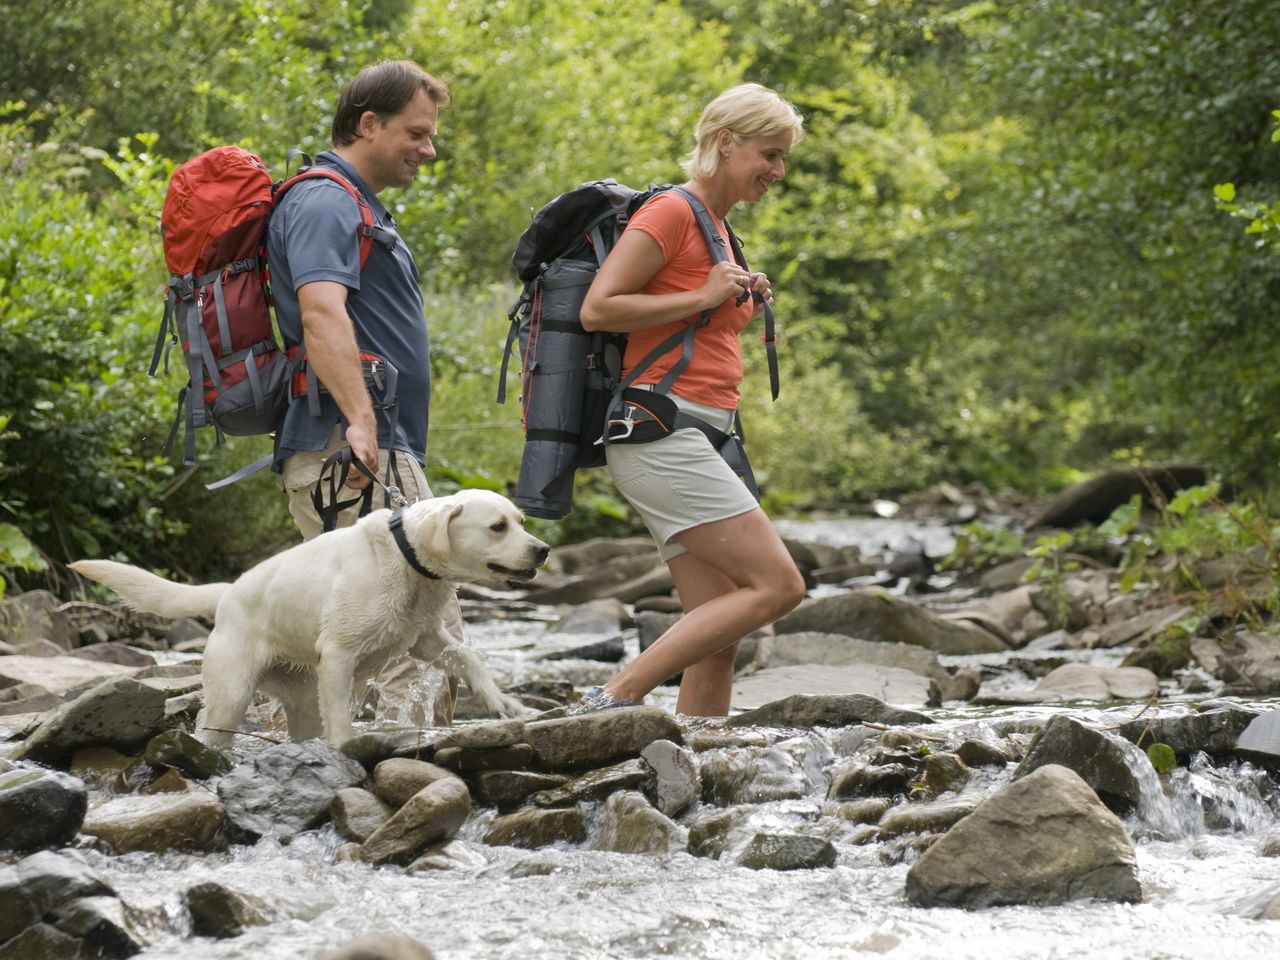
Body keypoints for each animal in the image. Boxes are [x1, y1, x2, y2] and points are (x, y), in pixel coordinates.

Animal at [70, 491, 547, 747]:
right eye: (498, 526)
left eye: (522, 520)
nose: (542, 550)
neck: (405, 557)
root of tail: (227, 592)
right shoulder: (337, 654)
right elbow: (341, 717)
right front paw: (346, 750)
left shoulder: (424, 639)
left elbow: (468, 659)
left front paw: (502, 703)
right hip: (230, 693)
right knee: (216, 728)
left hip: (299, 700)